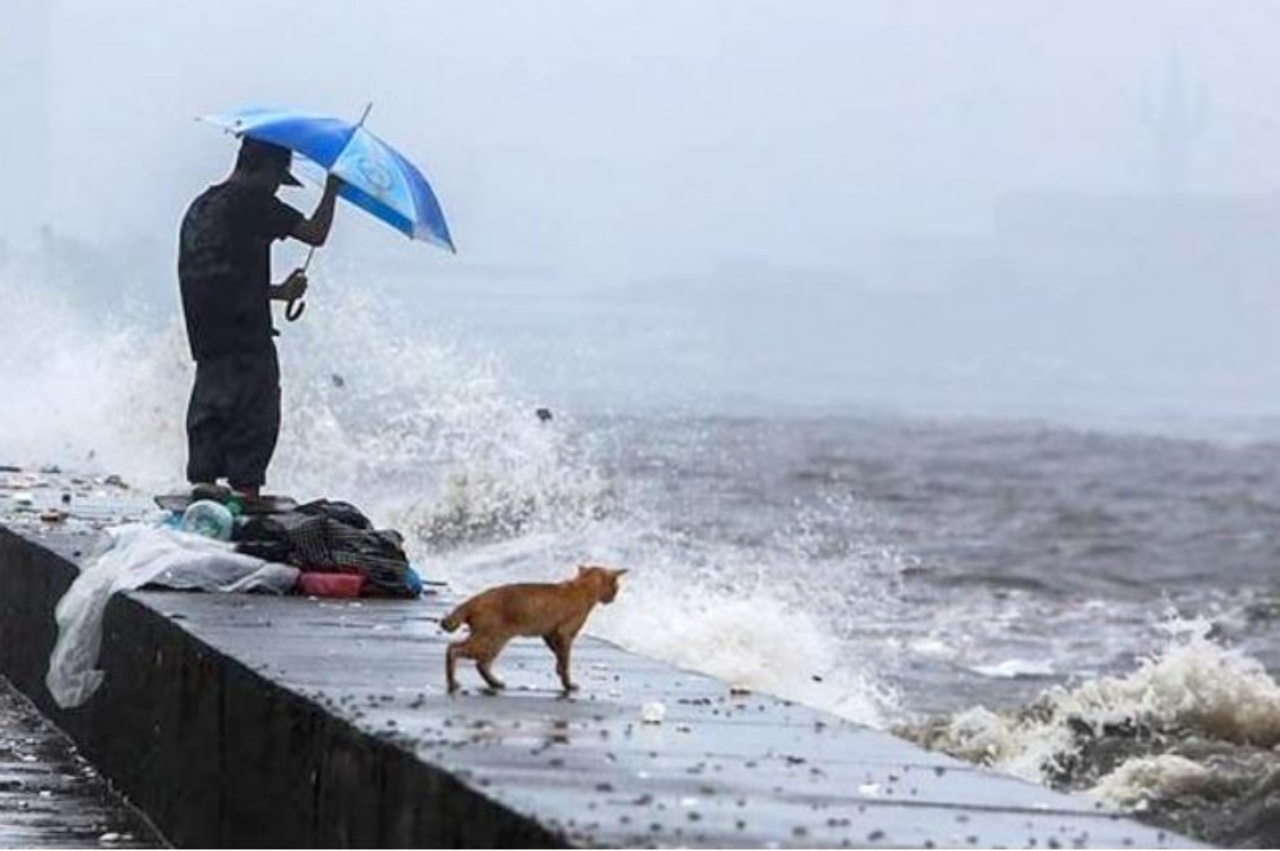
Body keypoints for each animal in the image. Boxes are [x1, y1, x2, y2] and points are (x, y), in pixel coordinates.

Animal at [442, 563, 627, 691]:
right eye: (616, 587)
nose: (614, 598)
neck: (581, 587)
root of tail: (475, 599)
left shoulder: (550, 634)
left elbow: (559, 656)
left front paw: (559, 671)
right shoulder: (564, 634)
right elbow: (565, 660)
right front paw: (567, 683)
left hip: (493, 641)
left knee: (480, 664)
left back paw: (494, 683)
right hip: (490, 639)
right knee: (454, 649)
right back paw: (453, 683)